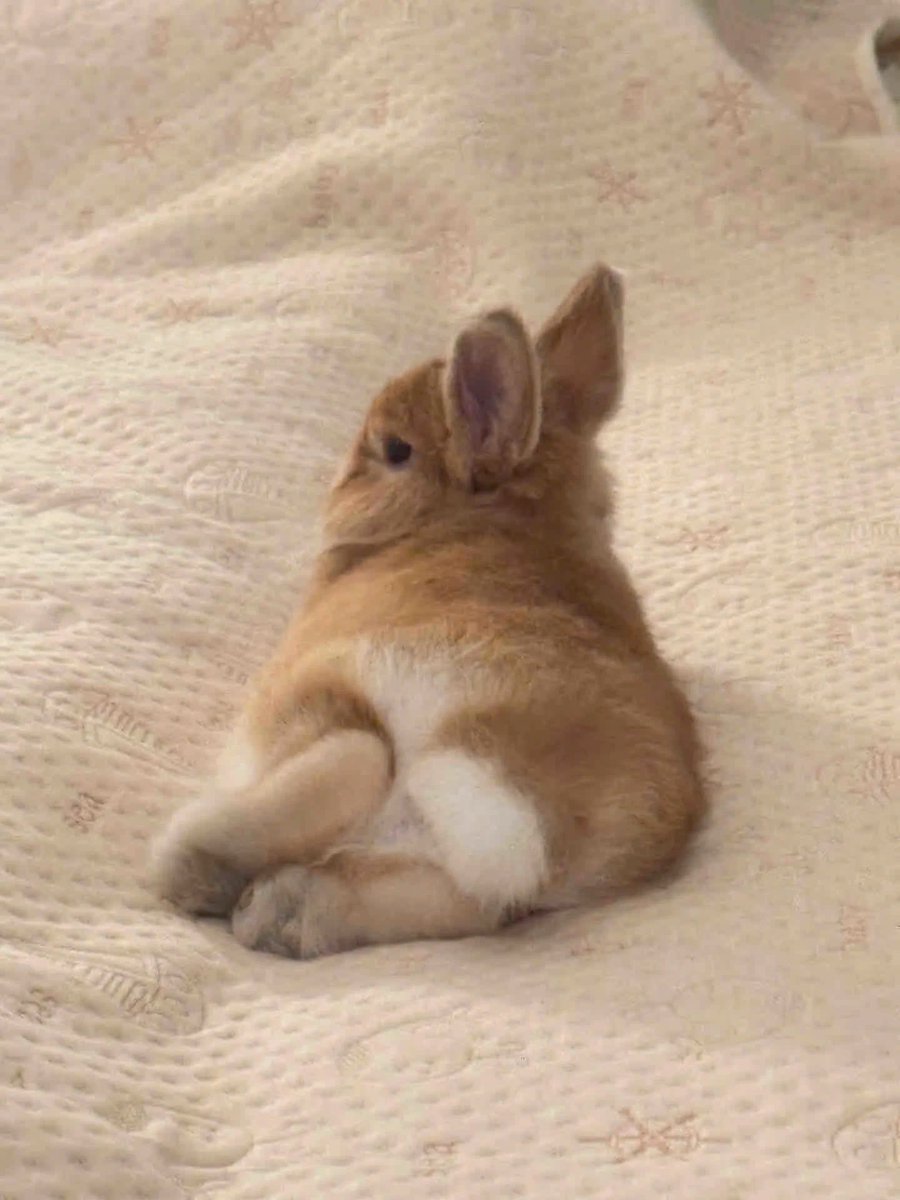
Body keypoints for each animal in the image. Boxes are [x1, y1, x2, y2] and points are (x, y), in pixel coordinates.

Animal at [151, 263, 706, 959]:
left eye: (394, 450)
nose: (337, 480)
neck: (507, 517)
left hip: (325, 697)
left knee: (356, 758)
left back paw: (201, 869)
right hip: (485, 878)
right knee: (456, 897)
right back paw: (279, 911)